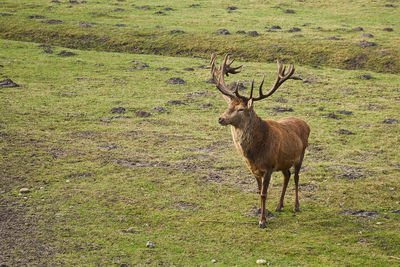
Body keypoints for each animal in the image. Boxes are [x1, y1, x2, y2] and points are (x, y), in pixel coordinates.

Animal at [211, 54, 310, 228]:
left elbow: (264, 193)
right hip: (283, 161)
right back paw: (279, 205)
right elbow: (258, 192)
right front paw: (260, 213)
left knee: (296, 177)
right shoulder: (254, 168)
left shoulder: (269, 166)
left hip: (301, 154)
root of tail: (306, 123)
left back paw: (296, 206)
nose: (221, 118)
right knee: (287, 175)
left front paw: (263, 220)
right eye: (229, 105)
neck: (254, 153)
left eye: (241, 109)